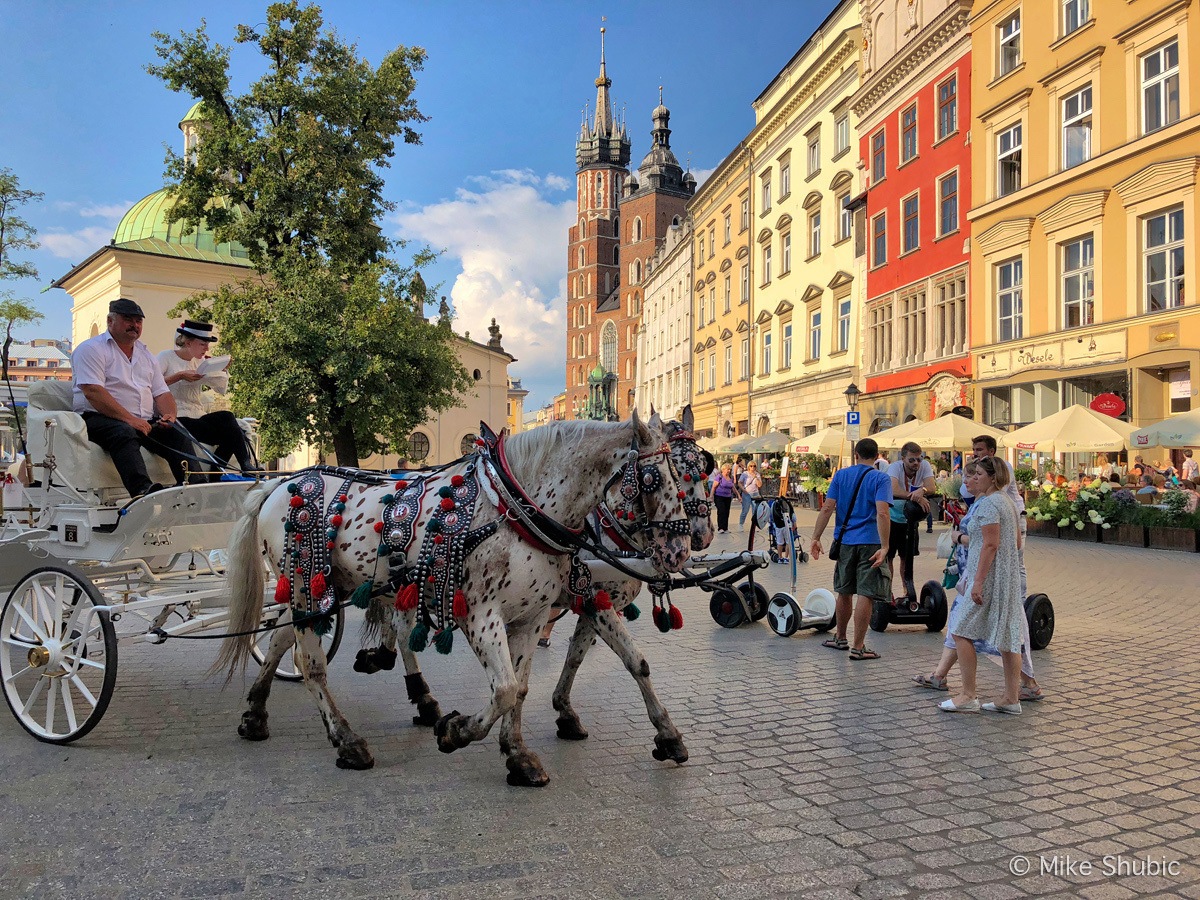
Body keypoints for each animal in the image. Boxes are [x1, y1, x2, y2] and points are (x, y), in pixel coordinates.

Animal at [211, 412, 691, 787]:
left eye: (691, 475)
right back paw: (348, 741)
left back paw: (255, 714)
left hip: (323, 588)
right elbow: (504, 689)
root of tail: (277, 486)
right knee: (311, 665)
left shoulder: (533, 616)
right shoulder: (480, 614)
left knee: (280, 638)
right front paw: (455, 731)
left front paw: (517, 755)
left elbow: (522, 689)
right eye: (654, 479)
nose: (681, 550)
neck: (516, 509)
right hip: (306, 585)